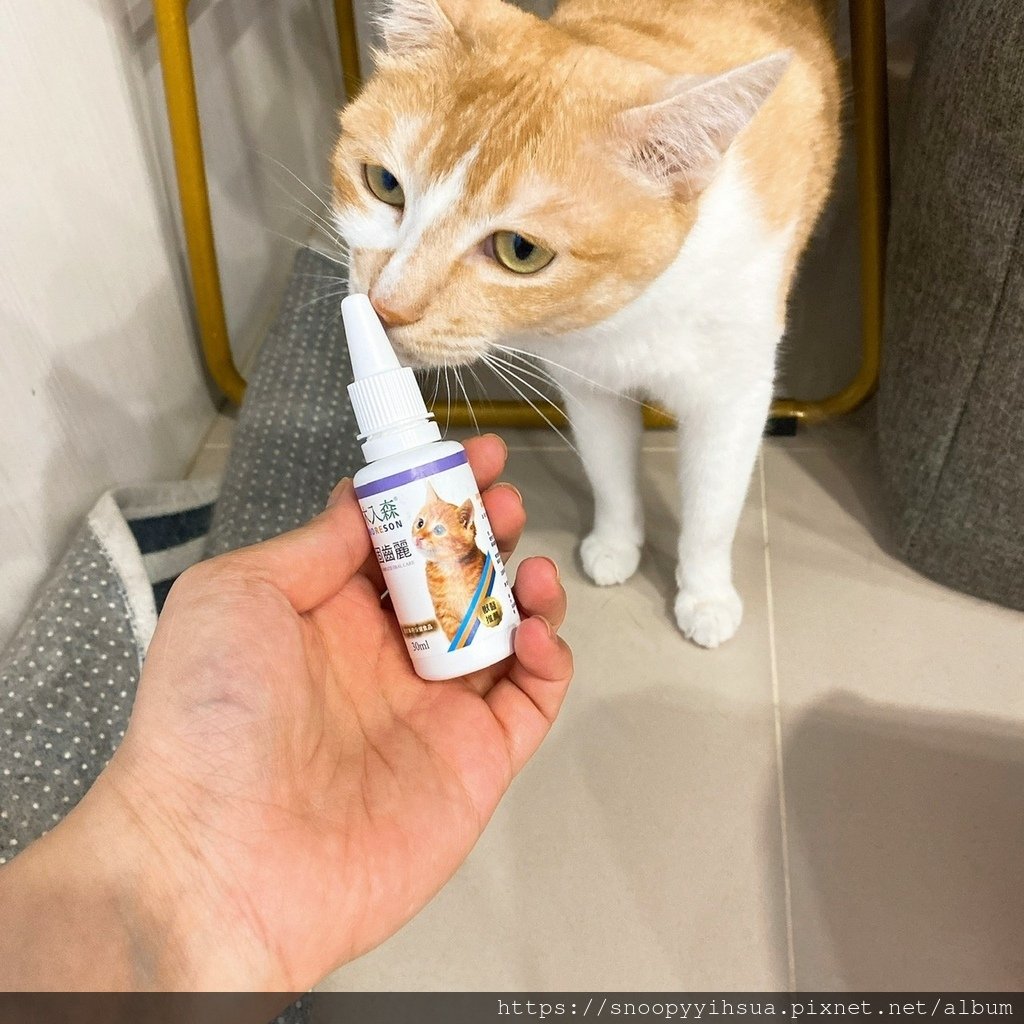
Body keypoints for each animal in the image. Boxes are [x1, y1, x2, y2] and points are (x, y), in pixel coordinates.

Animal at [412, 482, 487, 641]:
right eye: (420, 523)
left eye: (439, 530)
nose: (418, 538)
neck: (450, 568)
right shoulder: (444, 612)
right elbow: (457, 633)